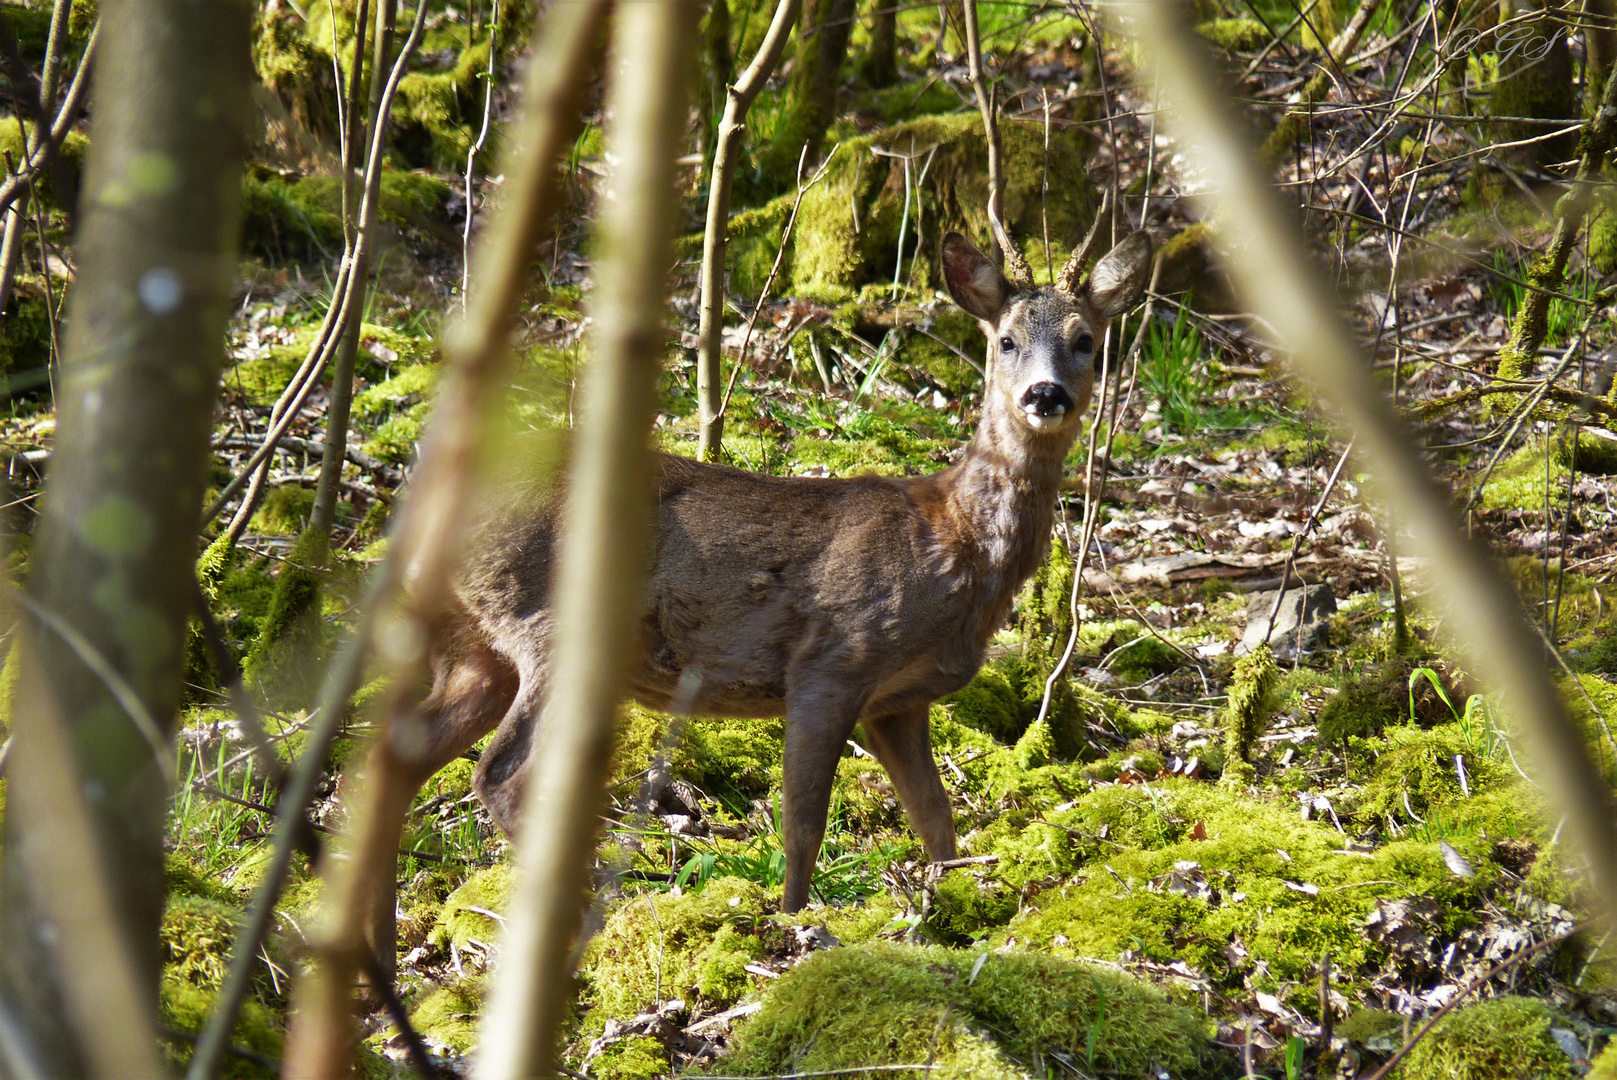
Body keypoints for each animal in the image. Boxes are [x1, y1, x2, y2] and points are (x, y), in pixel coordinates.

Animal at [373, 227, 1151, 931]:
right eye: (1006, 341)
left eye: (1086, 340)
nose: (1046, 395)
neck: (952, 544)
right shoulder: (833, 658)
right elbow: (804, 823)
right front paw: (795, 922)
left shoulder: (898, 701)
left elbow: (937, 821)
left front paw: (938, 916)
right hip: (555, 624)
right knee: (500, 774)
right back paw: (591, 918)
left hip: (475, 650)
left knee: (394, 761)